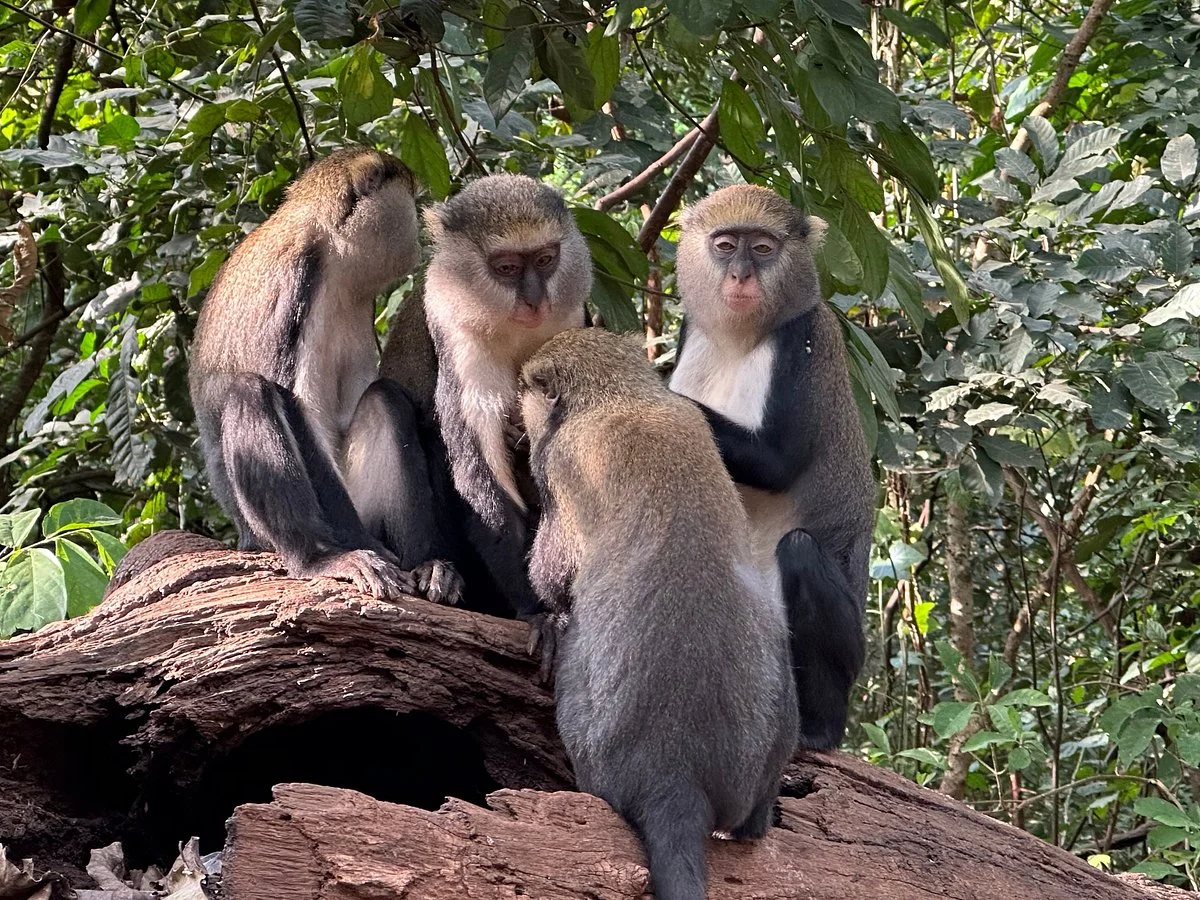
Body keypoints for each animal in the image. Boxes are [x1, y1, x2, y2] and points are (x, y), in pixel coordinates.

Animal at [189, 146, 459, 603]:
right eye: (409, 199)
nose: (419, 229)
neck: (332, 253)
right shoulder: (295, 278)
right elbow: (303, 413)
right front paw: (358, 552)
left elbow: (355, 405)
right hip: (261, 532)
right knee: (250, 392)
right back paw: (319, 558)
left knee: (384, 399)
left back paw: (426, 562)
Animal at [404, 173, 590, 618]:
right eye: (507, 268)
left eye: (545, 260)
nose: (535, 300)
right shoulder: (456, 331)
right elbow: (482, 477)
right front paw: (539, 608)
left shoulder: (570, 318)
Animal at [518, 328, 798, 900]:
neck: (621, 395)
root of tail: (676, 778)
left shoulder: (562, 459)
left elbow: (556, 568)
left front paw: (547, 613)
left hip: (595, 747)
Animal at [669, 184, 875, 751]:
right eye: (725, 245)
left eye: (762, 249)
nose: (741, 275)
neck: (736, 337)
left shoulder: (801, 339)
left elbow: (777, 462)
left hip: (849, 653)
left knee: (800, 552)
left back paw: (819, 731)